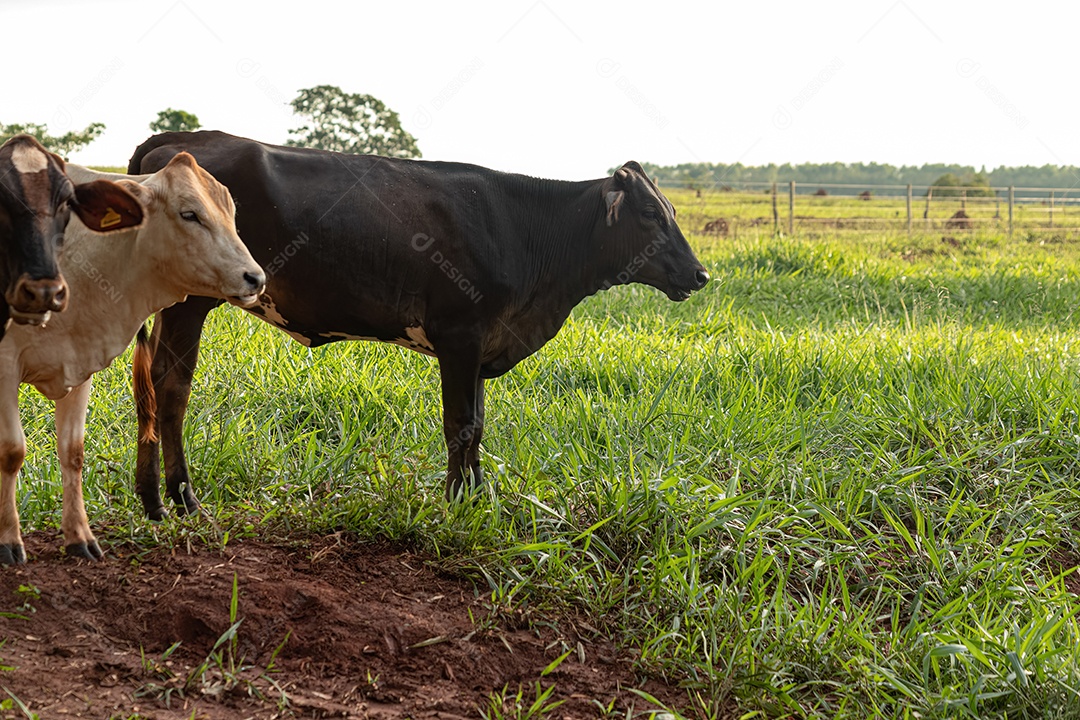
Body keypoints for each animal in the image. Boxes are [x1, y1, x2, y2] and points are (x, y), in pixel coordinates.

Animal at [128, 127, 708, 511]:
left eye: (674, 212)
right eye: (650, 214)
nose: (701, 274)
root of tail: (181, 141)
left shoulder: (481, 344)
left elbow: (478, 425)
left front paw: (477, 498)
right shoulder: (461, 335)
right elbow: (460, 424)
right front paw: (454, 503)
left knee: (155, 384)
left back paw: (153, 496)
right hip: (189, 301)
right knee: (172, 386)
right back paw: (183, 499)